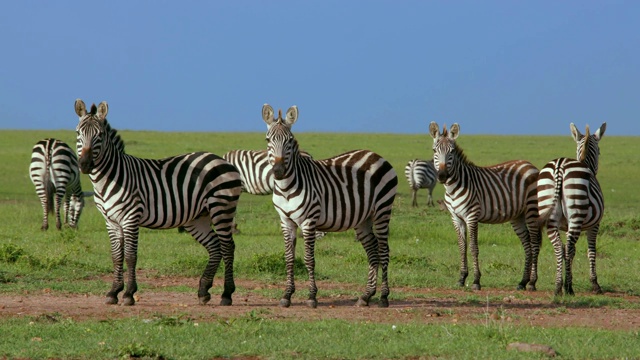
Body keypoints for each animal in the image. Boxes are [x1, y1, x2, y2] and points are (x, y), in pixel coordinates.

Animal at [73, 99, 242, 306]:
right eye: (78, 133)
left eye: (100, 135)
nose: (85, 165)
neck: (109, 178)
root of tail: (221, 160)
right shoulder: (111, 221)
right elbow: (116, 256)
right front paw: (113, 292)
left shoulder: (130, 217)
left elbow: (130, 256)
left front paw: (128, 294)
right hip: (197, 218)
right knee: (215, 247)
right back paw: (203, 291)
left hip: (221, 208)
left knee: (228, 247)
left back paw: (226, 294)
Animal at [262, 102, 398, 308]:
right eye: (268, 140)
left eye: (290, 141)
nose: (278, 171)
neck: (286, 188)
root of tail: (376, 155)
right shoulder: (286, 222)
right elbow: (289, 258)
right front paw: (287, 295)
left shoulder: (309, 221)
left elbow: (309, 259)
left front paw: (312, 297)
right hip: (363, 219)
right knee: (373, 252)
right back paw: (366, 296)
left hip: (383, 210)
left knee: (383, 251)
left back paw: (383, 297)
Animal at [430, 122, 540, 292]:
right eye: (435, 151)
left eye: (452, 152)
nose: (442, 176)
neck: (453, 188)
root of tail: (529, 164)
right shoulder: (456, 218)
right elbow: (462, 246)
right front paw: (461, 278)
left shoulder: (472, 216)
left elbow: (473, 247)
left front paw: (476, 281)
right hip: (518, 216)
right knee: (527, 244)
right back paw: (522, 282)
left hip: (531, 210)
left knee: (534, 244)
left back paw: (532, 283)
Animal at [536, 121, 608, 296]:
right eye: (599, 151)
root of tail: (559, 166)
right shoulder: (595, 225)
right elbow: (591, 251)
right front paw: (595, 284)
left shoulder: (566, 226)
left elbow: (571, 250)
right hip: (576, 212)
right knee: (567, 248)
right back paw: (568, 288)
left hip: (550, 212)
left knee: (559, 247)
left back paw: (557, 287)